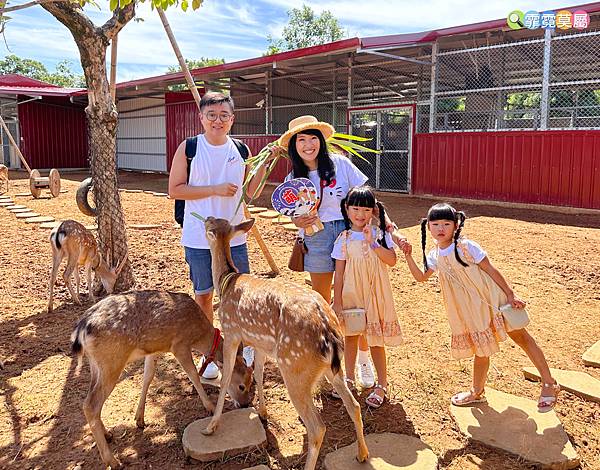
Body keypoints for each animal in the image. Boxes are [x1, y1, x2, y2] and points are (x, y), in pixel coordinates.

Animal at [71, 292, 253, 468]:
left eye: (251, 382)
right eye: (241, 386)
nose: (245, 404)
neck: (198, 334)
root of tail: (80, 331)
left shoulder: (155, 348)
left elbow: (148, 377)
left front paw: (139, 419)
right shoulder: (179, 345)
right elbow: (194, 374)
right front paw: (210, 407)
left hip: (97, 364)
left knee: (90, 400)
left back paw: (108, 434)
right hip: (112, 361)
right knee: (90, 405)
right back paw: (113, 461)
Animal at [204, 217, 368, 470]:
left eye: (209, 224)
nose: (204, 219)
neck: (226, 283)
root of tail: (328, 333)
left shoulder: (231, 332)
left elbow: (226, 377)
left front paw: (212, 426)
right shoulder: (261, 344)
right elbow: (258, 373)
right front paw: (262, 413)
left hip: (294, 368)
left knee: (317, 427)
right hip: (331, 368)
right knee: (354, 405)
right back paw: (362, 454)